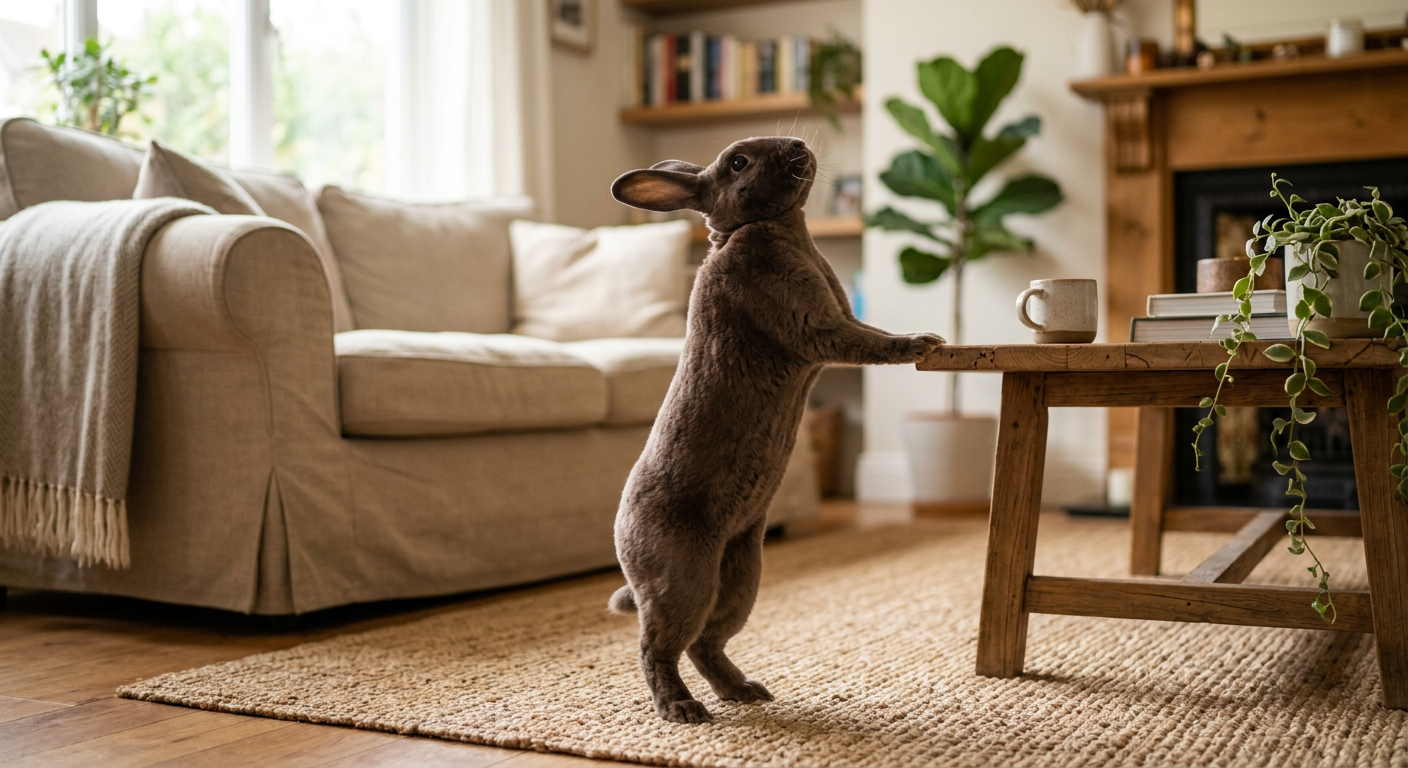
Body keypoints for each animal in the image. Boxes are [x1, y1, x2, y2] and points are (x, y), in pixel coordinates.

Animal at [607, 136, 945, 724]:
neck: (767, 227)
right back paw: (682, 710)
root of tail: (625, 549)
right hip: (686, 579)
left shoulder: (839, 319)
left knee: (705, 644)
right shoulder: (820, 328)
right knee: (657, 647)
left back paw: (745, 691)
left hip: (742, 577)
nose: (800, 145)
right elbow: (873, 344)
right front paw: (923, 342)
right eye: (738, 162)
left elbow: (868, 331)